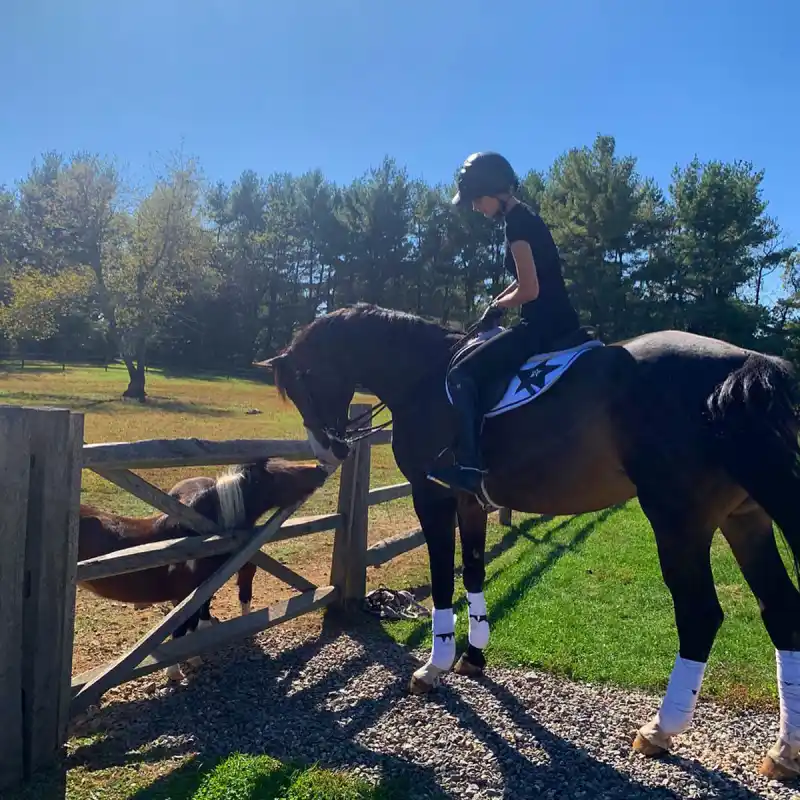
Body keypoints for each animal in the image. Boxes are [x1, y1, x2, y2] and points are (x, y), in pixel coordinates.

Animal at [78, 458, 328, 680]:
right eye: (283, 474)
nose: (321, 469)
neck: (196, 537)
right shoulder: (182, 597)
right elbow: (180, 631)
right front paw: (176, 671)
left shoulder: (198, 591)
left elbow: (193, 622)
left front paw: (193, 656)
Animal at [257, 302, 800, 780]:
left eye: (303, 380)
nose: (328, 450)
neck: (424, 376)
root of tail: (745, 362)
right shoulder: (470, 501)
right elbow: (474, 572)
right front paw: (473, 657)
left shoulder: (432, 496)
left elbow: (441, 578)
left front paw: (433, 668)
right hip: (744, 517)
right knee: (780, 609)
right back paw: (784, 751)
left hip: (678, 520)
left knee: (700, 614)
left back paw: (660, 730)